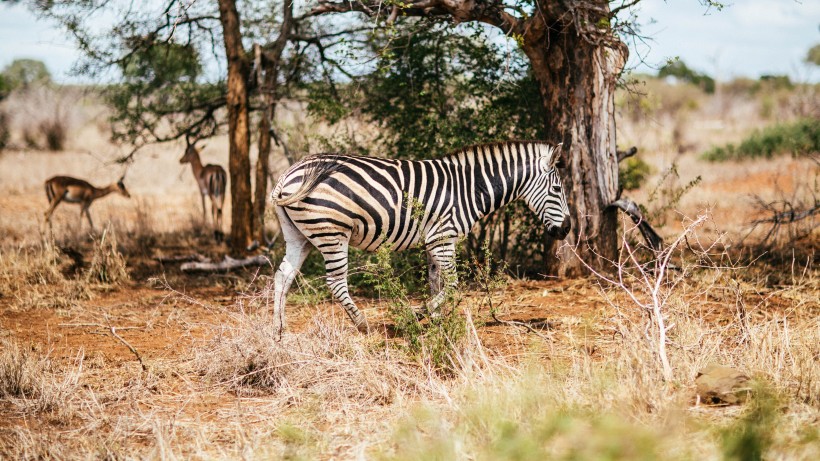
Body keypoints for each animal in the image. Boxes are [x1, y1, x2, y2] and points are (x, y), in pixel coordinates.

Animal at [270, 140, 572, 334]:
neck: (470, 188)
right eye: (557, 189)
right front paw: (419, 314)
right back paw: (362, 324)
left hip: (300, 236)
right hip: (332, 232)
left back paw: (278, 329)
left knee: (283, 275)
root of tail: (289, 172)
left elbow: (435, 282)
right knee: (335, 282)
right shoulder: (443, 237)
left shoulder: (434, 241)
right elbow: (452, 284)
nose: (567, 229)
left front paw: (437, 321)